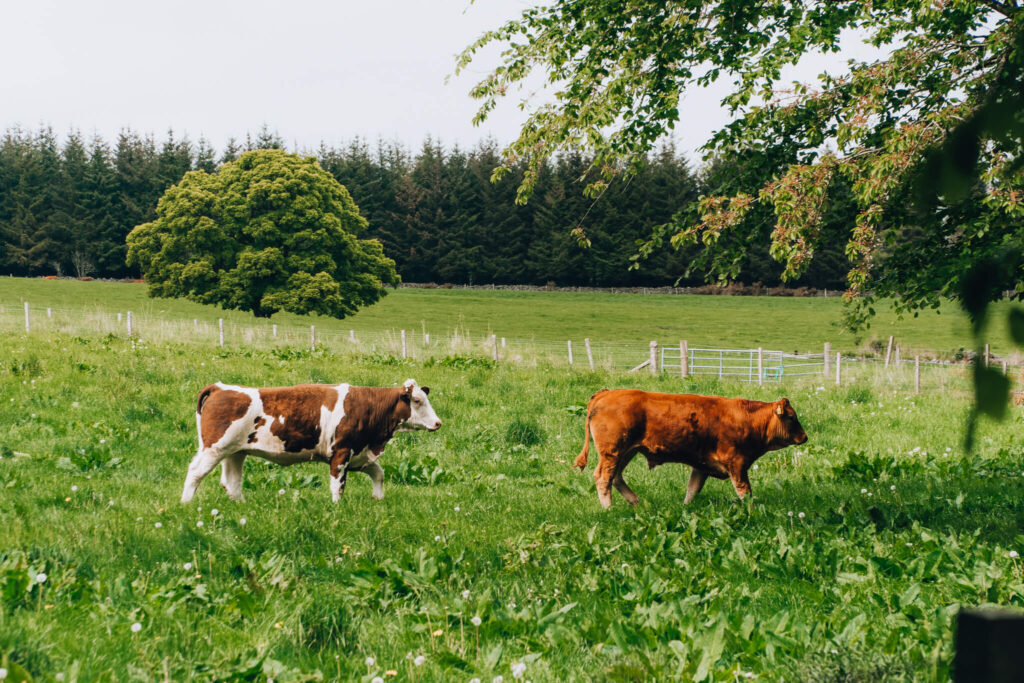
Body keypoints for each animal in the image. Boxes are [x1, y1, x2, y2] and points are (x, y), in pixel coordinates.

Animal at [182, 378, 438, 501]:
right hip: (215, 448)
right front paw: (337, 508)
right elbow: (338, 485)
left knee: (232, 482)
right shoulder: (341, 452)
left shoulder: (359, 454)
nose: (438, 423)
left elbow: (379, 474)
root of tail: (220, 387)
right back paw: (186, 504)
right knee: (195, 473)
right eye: (417, 401)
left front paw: (378, 498)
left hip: (235, 452)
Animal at [573, 389, 802, 507]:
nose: (805, 436)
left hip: (626, 452)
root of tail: (605, 393)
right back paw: (608, 508)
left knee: (616, 476)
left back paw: (635, 501)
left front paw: (685, 508)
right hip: (612, 453)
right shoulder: (737, 465)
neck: (749, 419)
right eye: (791, 417)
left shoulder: (701, 466)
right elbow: (744, 491)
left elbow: (693, 489)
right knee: (604, 477)